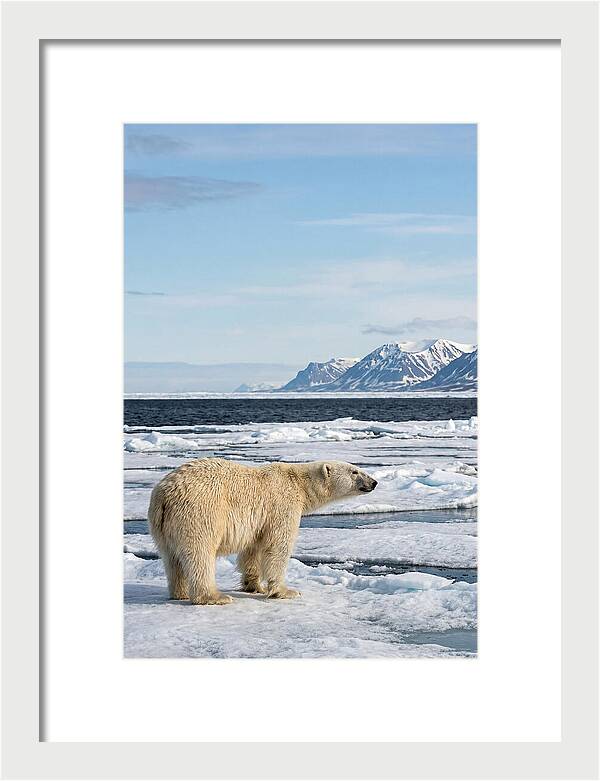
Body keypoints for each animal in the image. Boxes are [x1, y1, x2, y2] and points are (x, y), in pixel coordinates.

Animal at [147, 457, 377, 605]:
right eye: (355, 471)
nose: (374, 482)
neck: (299, 483)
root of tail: (164, 494)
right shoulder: (282, 505)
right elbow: (277, 546)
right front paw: (286, 591)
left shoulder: (259, 521)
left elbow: (253, 549)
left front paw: (254, 586)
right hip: (200, 512)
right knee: (200, 554)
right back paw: (214, 597)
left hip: (161, 525)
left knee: (171, 558)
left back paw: (180, 593)